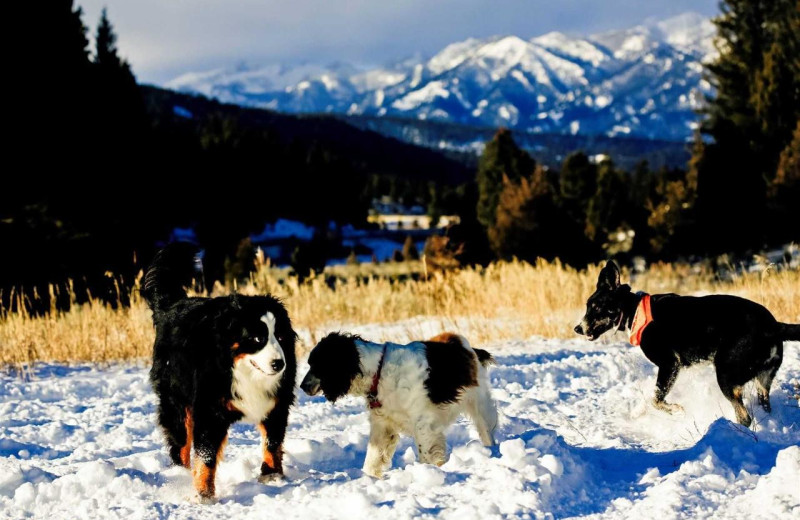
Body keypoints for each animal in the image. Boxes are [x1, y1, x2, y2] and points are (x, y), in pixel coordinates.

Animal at [141, 246, 296, 502]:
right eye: (257, 338)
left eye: (281, 337)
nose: (278, 364)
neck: (241, 371)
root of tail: (172, 305)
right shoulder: (209, 410)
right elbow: (206, 455)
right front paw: (204, 494)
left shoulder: (276, 402)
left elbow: (272, 442)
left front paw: (272, 476)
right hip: (176, 399)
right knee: (180, 442)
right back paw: (179, 475)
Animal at [302, 334, 500, 476]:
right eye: (310, 363)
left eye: (317, 365)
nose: (302, 386)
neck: (378, 372)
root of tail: (470, 349)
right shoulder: (383, 426)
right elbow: (372, 459)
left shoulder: (423, 423)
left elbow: (425, 453)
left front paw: (427, 472)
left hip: (480, 405)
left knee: (486, 431)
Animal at [580, 262, 796, 424]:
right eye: (587, 306)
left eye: (596, 307)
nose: (578, 328)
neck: (634, 311)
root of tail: (773, 325)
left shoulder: (669, 364)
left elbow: (655, 399)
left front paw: (675, 410)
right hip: (762, 381)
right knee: (763, 406)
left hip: (725, 373)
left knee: (745, 417)